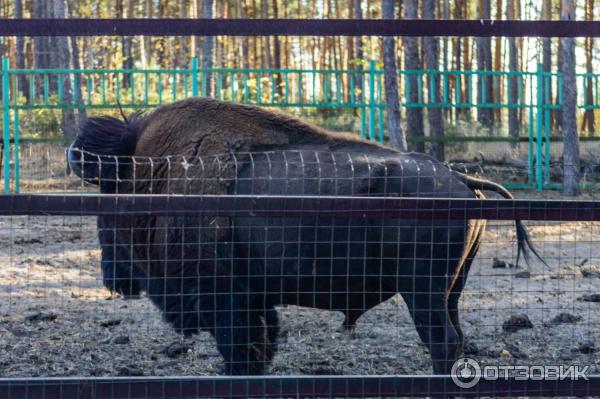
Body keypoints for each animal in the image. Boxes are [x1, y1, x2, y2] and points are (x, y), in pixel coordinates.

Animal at [67, 98, 544, 376]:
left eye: (108, 192)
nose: (114, 279)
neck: (158, 172)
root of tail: (461, 178)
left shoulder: (226, 300)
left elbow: (240, 350)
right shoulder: (254, 300)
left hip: (422, 289)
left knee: (441, 341)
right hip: (451, 289)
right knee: (456, 338)